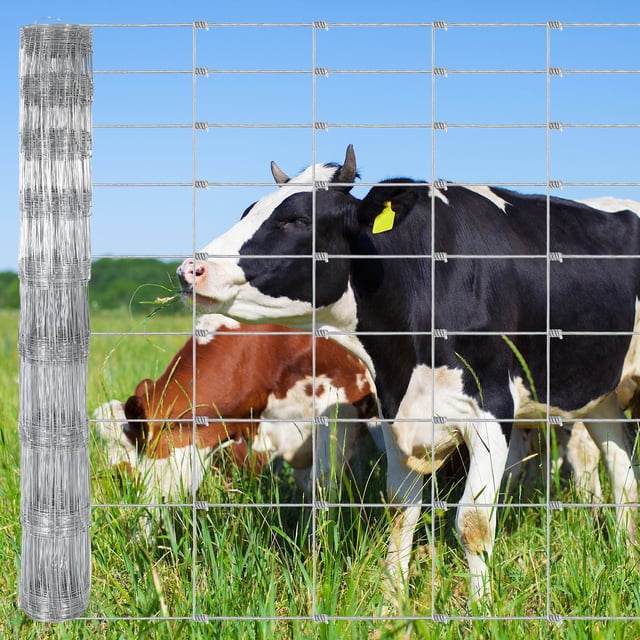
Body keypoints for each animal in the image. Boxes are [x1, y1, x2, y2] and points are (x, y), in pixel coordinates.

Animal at [175, 145, 640, 604]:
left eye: (298, 220)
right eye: (248, 211)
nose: (188, 270)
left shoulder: (491, 408)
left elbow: (473, 523)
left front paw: (481, 607)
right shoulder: (395, 409)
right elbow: (400, 510)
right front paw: (391, 600)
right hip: (601, 394)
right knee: (620, 468)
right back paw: (626, 549)